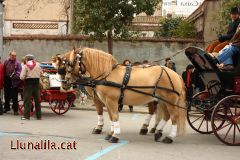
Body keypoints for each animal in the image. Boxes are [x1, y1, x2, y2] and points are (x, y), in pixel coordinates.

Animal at [57, 47, 186, 144]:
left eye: (71, 62)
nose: (65, 83)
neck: (107, 74)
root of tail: (175, 74)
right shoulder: (106, 101)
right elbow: (110, 117)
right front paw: (110, 133)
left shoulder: (110, 101)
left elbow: (114, 116)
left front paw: (115, 135)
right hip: (162, 100)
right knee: (166, 115)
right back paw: (157, 132)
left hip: (170, 101)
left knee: (174, 116)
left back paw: (169, 137)